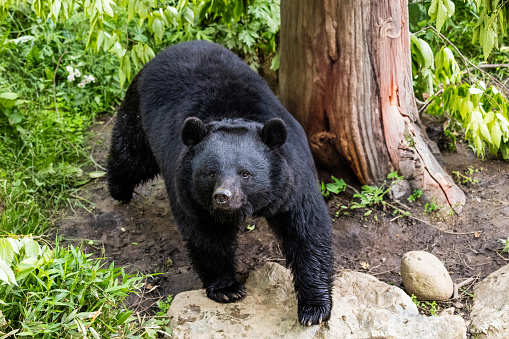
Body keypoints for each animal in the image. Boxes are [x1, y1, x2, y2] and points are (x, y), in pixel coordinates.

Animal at [107, 39, 334, 326]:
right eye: (210, 173)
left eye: (245, 173)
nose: (223, 197)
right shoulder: (188, 188)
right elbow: (206, 234)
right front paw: (227, 289)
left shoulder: (293, 177)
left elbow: (306, 229)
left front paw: (314, 309)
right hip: (138, 114)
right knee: (129, 154)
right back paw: (118, 190)